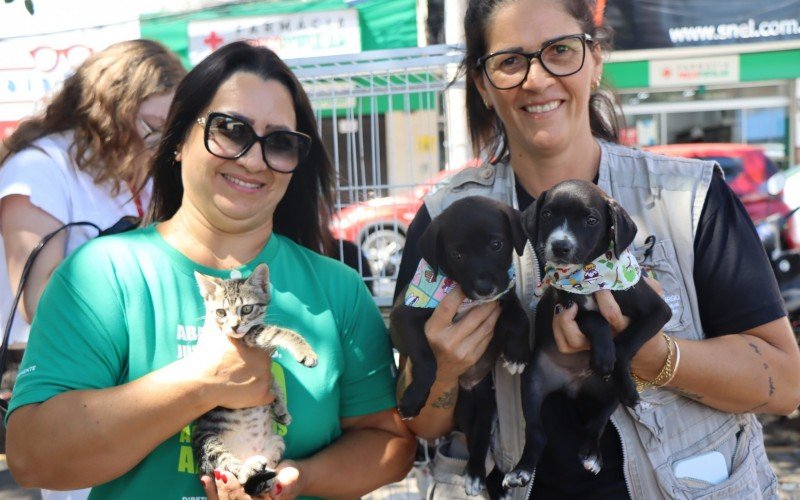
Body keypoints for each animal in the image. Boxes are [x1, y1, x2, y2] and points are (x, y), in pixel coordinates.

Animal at [192, 264, 318, 494]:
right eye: (221, 312)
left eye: (247, 309)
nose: (234, 327)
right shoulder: (252, 335)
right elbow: (278, 331)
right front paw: (305, 351)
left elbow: (273, 381)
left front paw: (281, 409)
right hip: (209, 443)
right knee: (230, 468)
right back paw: (247, 470)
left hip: (277, 441)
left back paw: (266, 480)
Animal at [390, 195, 532, 496]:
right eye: (457, 254)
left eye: (496, 244)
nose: (484, 288)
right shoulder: (401, 318)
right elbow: (427, 359)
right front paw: (413, 400)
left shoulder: (504, 295)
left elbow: (519, 316)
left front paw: (517, 354)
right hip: (464, 409)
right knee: (474, 440)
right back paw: (477, 476)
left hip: (484, 406)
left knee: (479, 441)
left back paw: (479, 477)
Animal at [504, 179, 672, 488]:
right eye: (547, 214)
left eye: (591, 220)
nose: (560, 246)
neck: (590, 275)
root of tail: (574, 384)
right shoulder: (565, 308)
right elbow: (594, 318)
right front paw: (604, 352)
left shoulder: (658, 311)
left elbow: (624, 345)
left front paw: (621, 375)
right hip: (532, 382)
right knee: (537, 433)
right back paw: (521, 471)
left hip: (608, 394)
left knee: (597, 422)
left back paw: (592, 452)